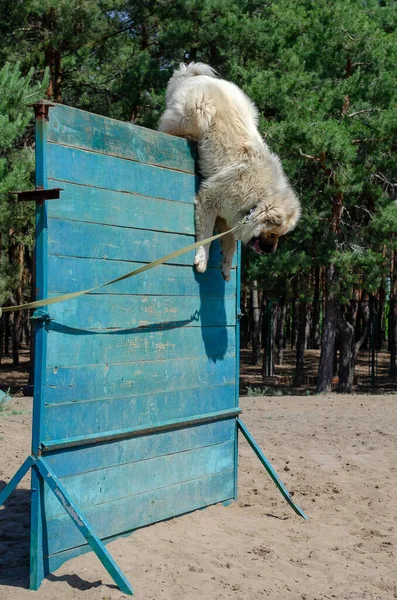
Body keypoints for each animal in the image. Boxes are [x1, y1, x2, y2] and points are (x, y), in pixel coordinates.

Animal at [158, 62, 300, 282]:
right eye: (273, 233)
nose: (272, 251)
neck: (257, 201)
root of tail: (192, 76)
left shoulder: (229, 216)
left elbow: (231, 244)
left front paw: (226, 268)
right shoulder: (209, 200)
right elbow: (206, 236)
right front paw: (202, 260)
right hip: (195, 114)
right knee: (167, 128)